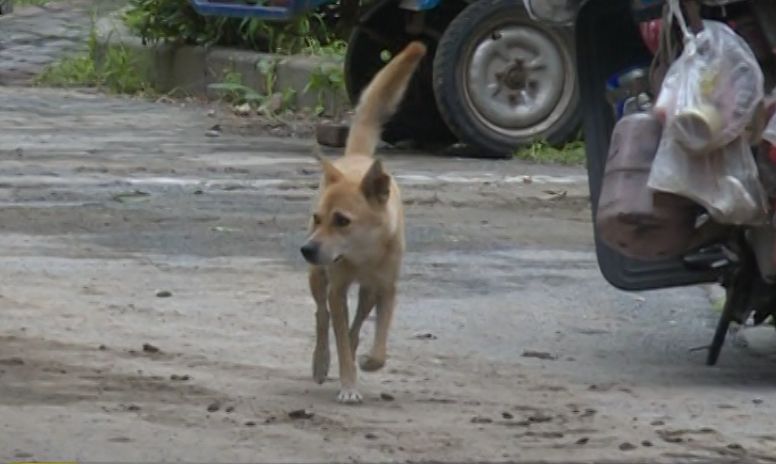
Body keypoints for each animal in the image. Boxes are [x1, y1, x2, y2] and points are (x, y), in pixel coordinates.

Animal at [302, 40, 424, 402]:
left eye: (342, 220)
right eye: (317, 219)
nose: (306, 249)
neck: (363, 253)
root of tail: (357, 157)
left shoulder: (386, 289)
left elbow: (377, 338)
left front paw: (370, 361)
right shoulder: (337, 290)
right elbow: (339, 337)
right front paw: (347, 382)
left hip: (368, 292)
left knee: (356, 325)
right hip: (317, 279)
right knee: (321, 317)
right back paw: (320, 363)